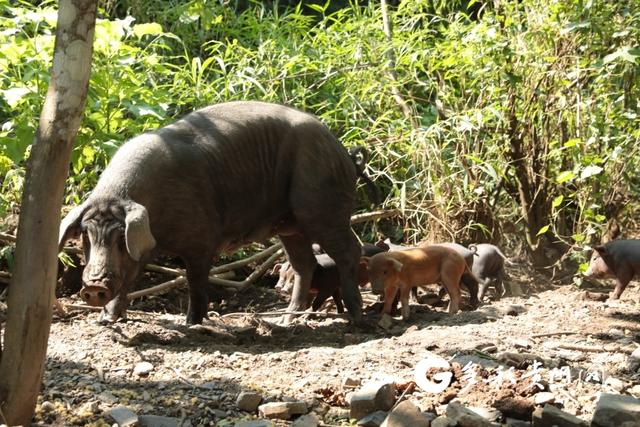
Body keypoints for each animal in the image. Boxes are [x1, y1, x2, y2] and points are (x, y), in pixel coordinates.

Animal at [61, 102, 370, 326]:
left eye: (118, 237)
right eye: (86, 235)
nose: (92, 287)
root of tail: (343, 152)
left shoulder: (201, 239)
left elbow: (195, 280)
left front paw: (191, 323)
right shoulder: (141, 250)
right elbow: (128, 278)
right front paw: (106, 320)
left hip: (323, 207)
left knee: (349, 251)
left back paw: (356, 319)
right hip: (290, 225)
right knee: (304, 264)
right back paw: (285, 321)